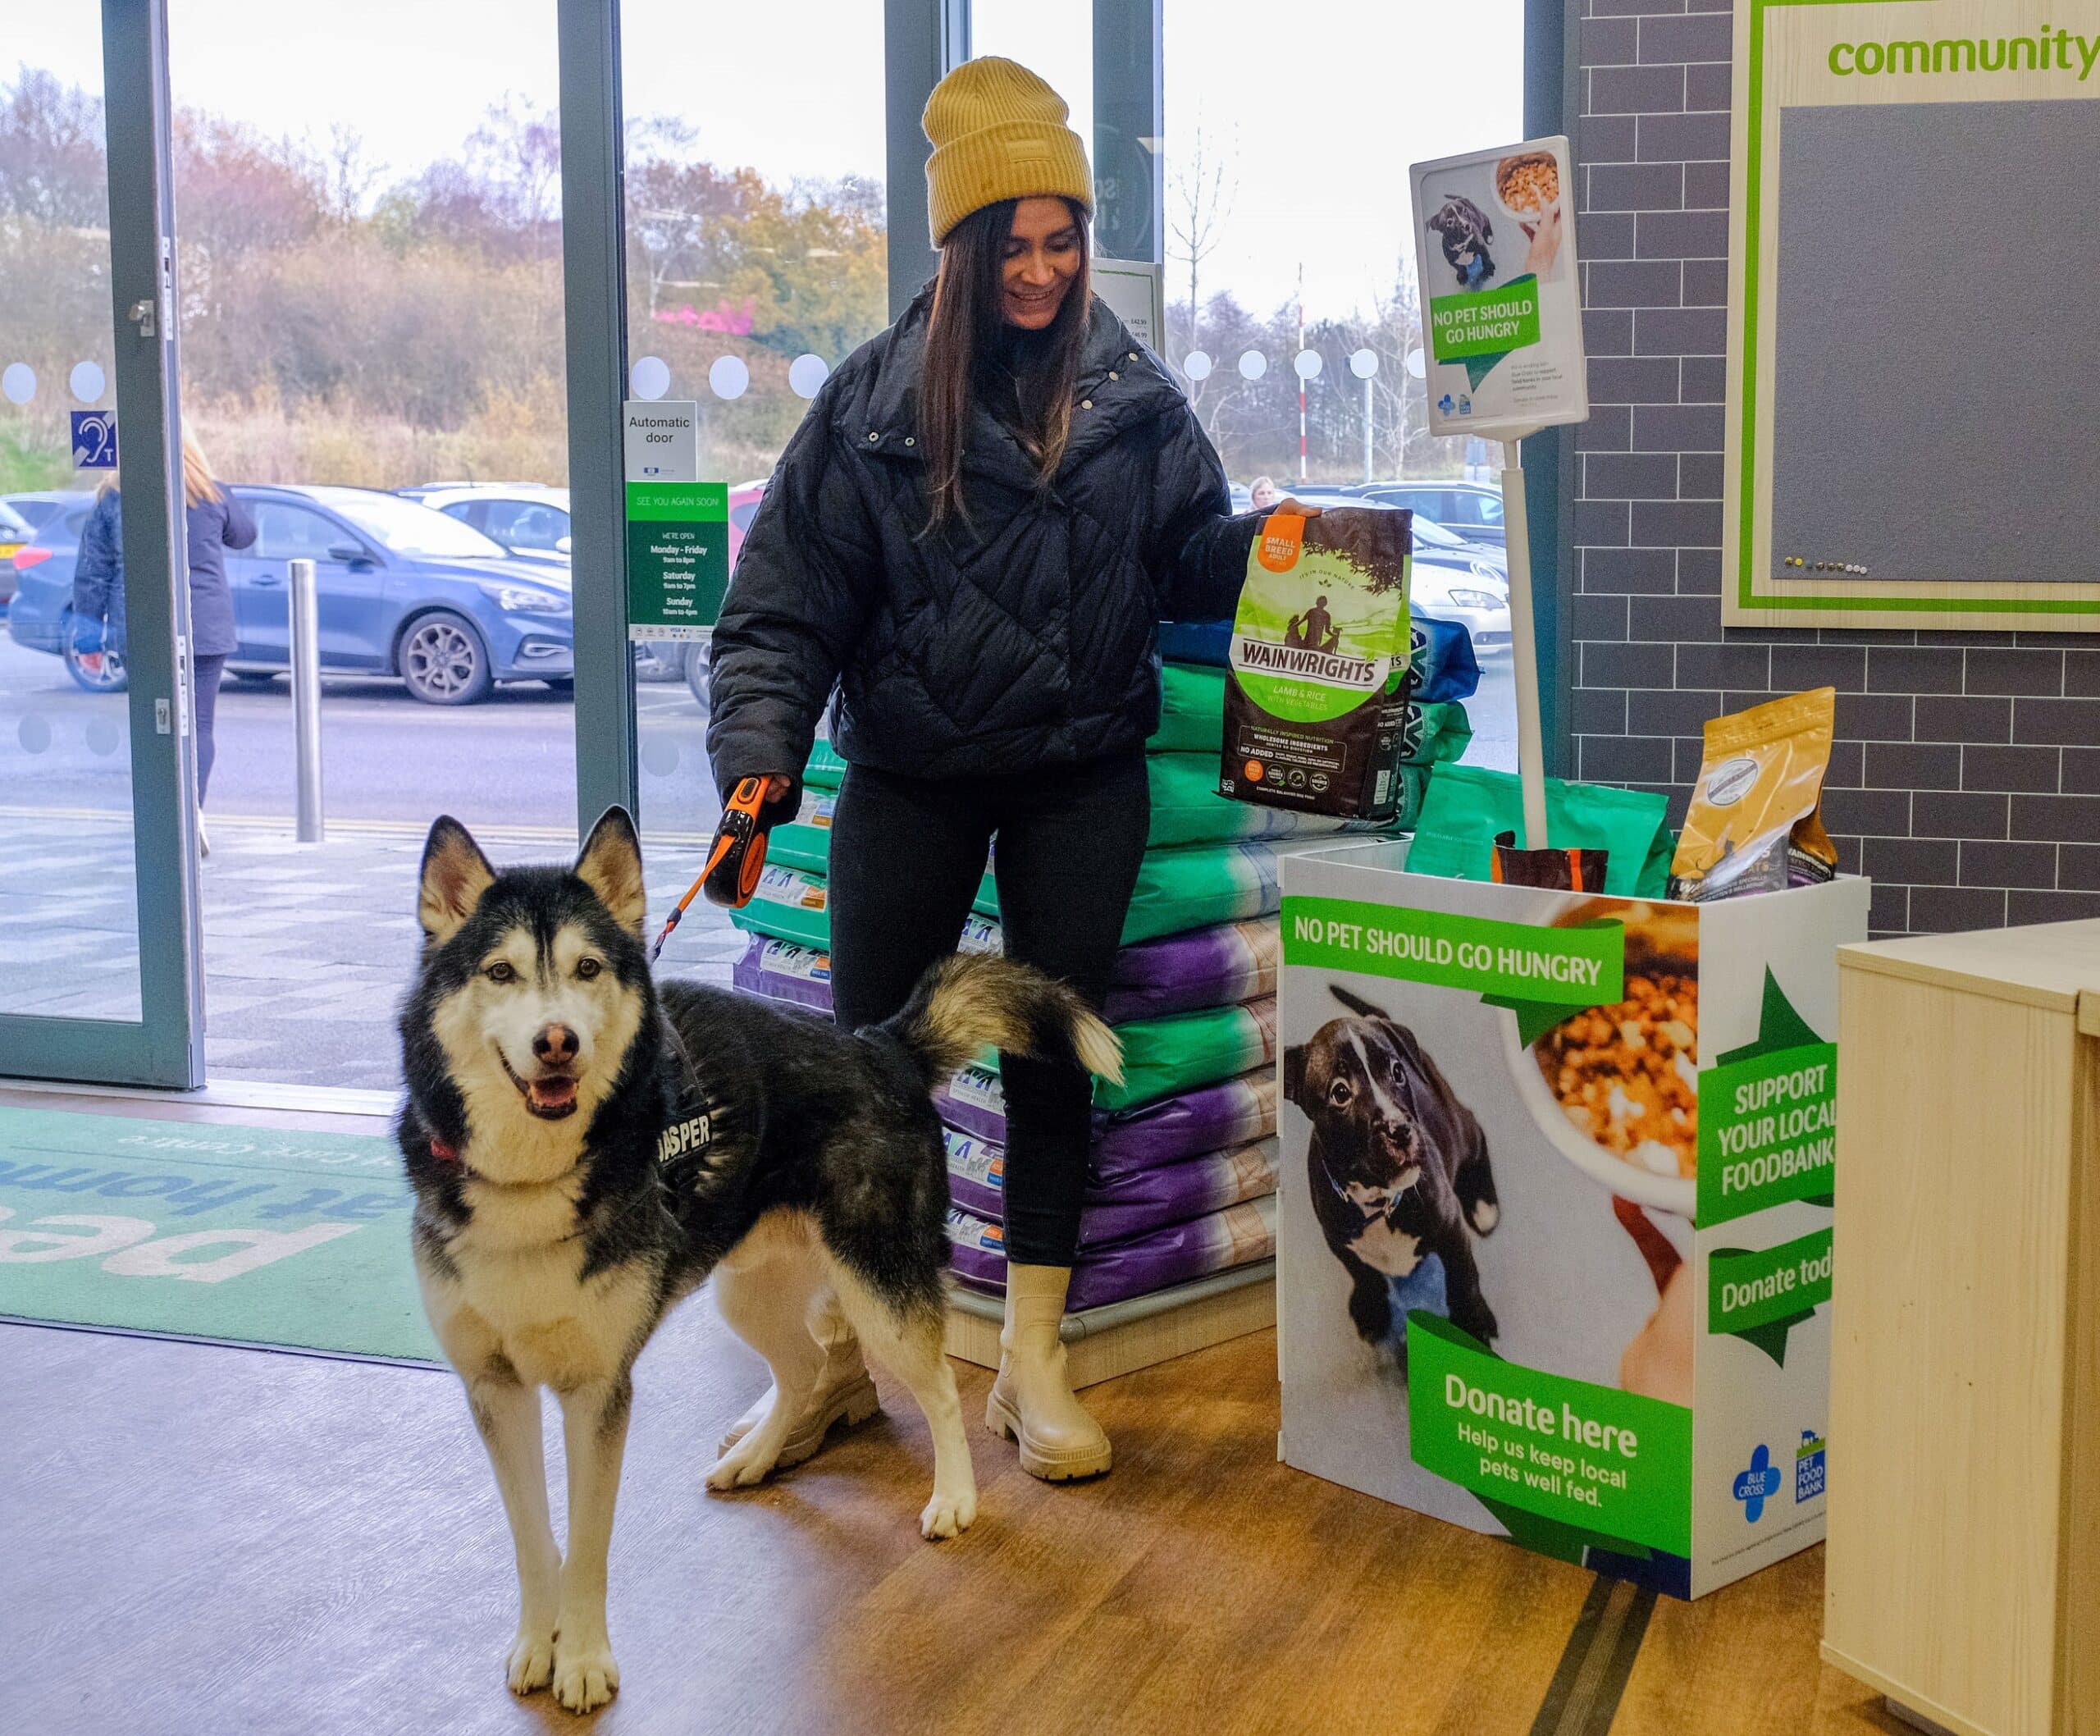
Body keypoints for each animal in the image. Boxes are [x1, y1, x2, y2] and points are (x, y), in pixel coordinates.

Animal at [396, 807, 1120, 1713]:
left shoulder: (599, 1392)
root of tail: (880, 1045)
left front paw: (586, 1657)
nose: (556, 1043)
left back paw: (954, 1498)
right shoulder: (494, 1389)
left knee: (937, 1390)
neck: (535, 1177)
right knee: (806, 1366)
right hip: (746, 1293)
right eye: (500, 972)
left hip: (879, 1286)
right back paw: (756, 1456)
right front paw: (539, 1643)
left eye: (587, 968)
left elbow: (589, 1544)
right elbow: (534, 1538)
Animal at [1284, 987, 1500, 1365]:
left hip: (1458, 1125)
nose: (1400, 1129)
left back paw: (1484, 1205)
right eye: (1340, 1092)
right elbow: (1361, 1272)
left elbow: (1463, 1278)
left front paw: (1473, 1325)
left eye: (1398, 1073)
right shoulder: (1336, 1236)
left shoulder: (1452, 1228)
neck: (1379, 1202)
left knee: (1477, 1134)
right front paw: (1371, 1309)